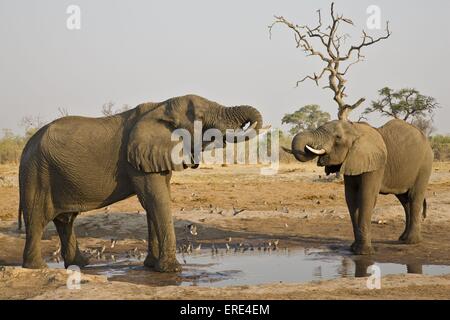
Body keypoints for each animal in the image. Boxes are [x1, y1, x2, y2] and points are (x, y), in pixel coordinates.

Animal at [19, 94, 262, 272]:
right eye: (201, 116)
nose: (247, 125)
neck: (160, 106)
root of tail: (27, 145)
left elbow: (155, 201)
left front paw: (151, 266)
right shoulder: (135, 160)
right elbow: (155, 199)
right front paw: (171, 270)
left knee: (65, 221)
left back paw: (80, 265)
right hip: (37, 174)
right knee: (38, 219)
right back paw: (37, 268)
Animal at [284, 119, 434, 254]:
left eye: (338, 137)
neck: (356, 129)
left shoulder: (375, 165)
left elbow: (366, 197)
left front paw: (363, 252)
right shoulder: (351, 161)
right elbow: (351, 198)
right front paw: (354, 249)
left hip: (424, 165)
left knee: (414, 198)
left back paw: (411, 242)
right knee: (404, 200)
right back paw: (402, 239)